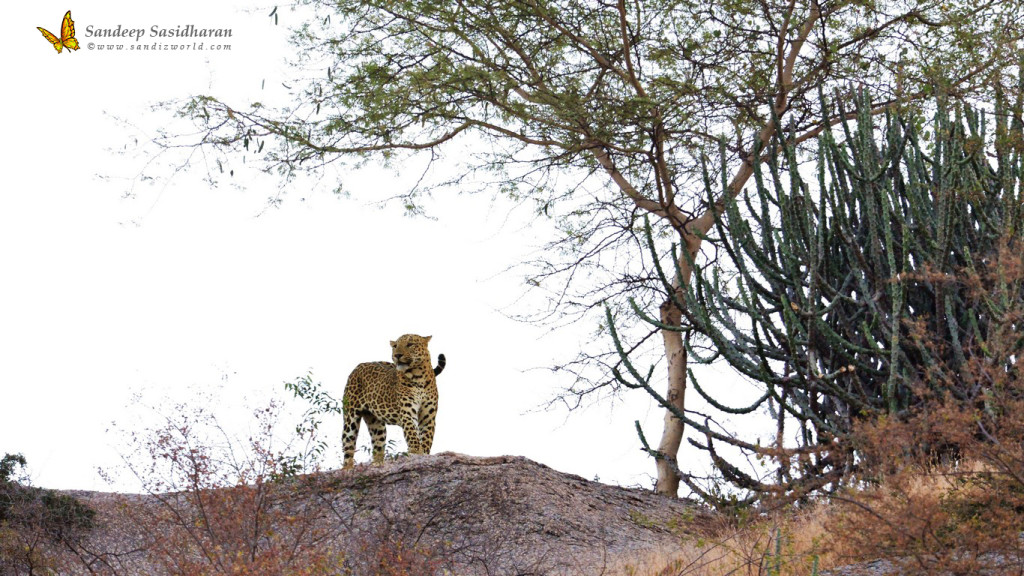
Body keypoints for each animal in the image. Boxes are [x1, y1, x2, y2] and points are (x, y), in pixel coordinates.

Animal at [344, 334, 444, 463]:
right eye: (395, 346)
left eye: (410, 344)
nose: (397, 355)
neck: (418, 376)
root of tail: (359, 366)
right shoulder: (407, 411)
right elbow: (412, 433)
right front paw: (416, 452)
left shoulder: (428, 416)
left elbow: (427, 437)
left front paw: (424, 454)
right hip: (350, 419)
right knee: (348, 449)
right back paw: (348, 467)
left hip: (376, 425)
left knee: (378, 448)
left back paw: (378, 464)